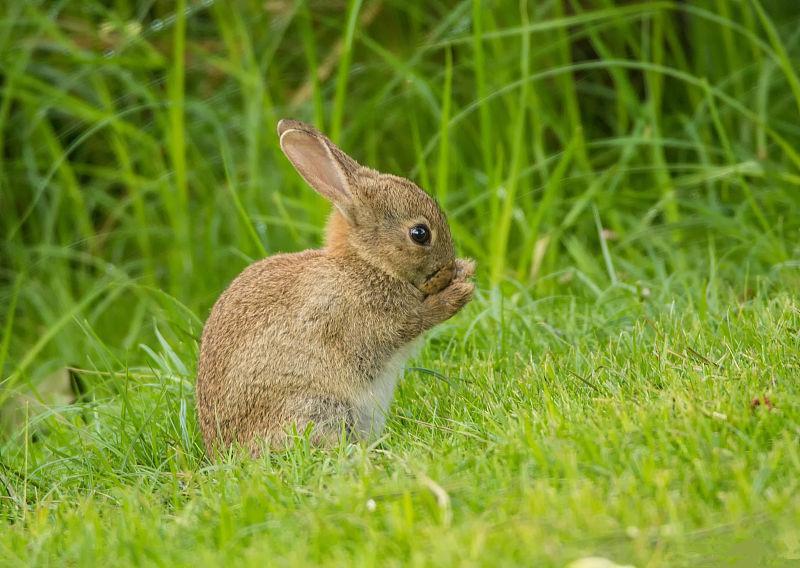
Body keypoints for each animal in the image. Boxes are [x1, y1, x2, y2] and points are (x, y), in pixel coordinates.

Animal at [197, 121, 476, 458]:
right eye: (420, 233)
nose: (447, 266)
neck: (366, 263)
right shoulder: (366, 320)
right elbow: (413, 322)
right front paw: (459, 292)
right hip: (317, 408)